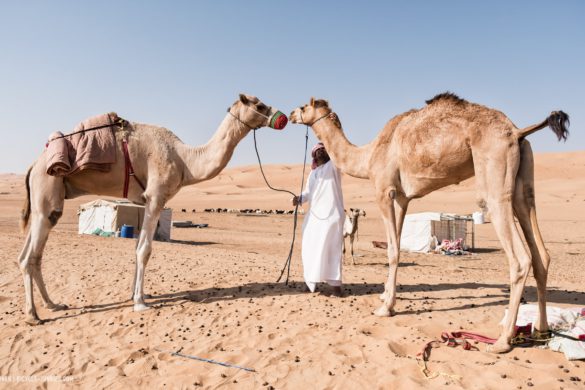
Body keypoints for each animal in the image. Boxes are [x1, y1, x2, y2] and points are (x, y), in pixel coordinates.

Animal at [16, 94, 286, 326]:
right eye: (260, 105)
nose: (282, 117)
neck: (184, 160)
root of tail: (33, 165)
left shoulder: (144, 202)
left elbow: (137, 247)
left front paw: (135, 295)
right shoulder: (156, 197)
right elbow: (145, 250)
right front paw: (140, 303)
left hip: (46, 202)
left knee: (30, 255)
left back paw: (52, 304)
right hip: (47, 190)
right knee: (31, 257)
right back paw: (33, 315)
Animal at [290, 93, 568, 354]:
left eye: (303, 106)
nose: (291, 114)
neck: (368, 156)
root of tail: (517, 131)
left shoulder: (384, 191)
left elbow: (392, 250)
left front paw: (385, 308)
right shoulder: (402, 198)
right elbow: (397, 245)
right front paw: (386, 296)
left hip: (495, 176)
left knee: (520, 258)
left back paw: (502, 341)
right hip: (523, 179)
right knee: (540, 253)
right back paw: (541, 330)